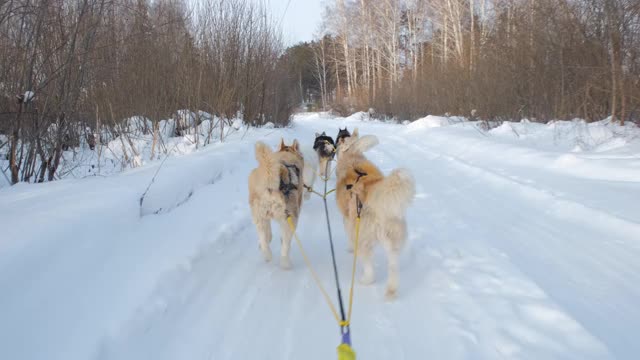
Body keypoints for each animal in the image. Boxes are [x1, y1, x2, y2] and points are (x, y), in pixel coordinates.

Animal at [332, 129, 418, 298]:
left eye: (339, 140)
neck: (352, 156)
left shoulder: (347, 221)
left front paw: (349, 249)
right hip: (391, 237)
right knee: (393, 266)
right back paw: (391, 290)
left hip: (363, 235)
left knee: (369, 265)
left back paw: (366, 280)